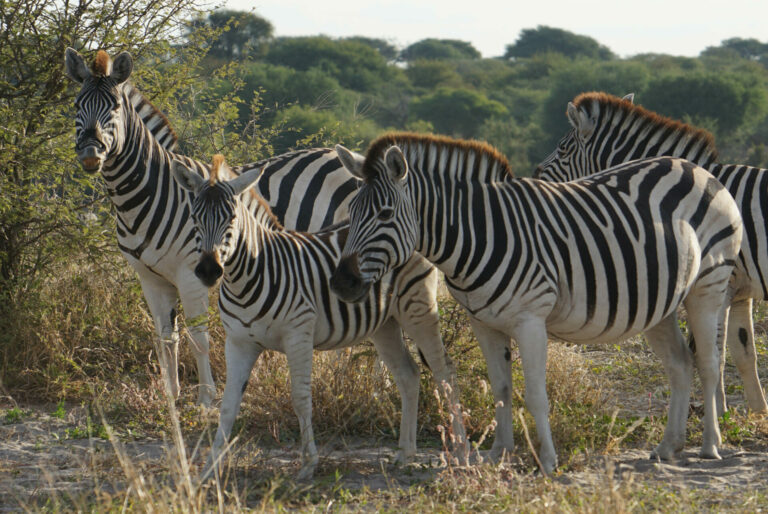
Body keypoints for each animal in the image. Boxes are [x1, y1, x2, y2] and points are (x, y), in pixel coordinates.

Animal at [63, 48, 364, 406]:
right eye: (77, 105)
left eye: (115, 108)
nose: (90, 154)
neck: (147, 192)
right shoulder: (151, 279)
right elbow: (166, 338)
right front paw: (171, 397)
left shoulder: (191, 273)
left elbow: (198, 337)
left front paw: (206, 399)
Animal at [171, 154, 464, 478]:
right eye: (194, 218)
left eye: (231, 218)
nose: (208, 270)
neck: (248, 276)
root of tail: (412, 226)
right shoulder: (238, 342)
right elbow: (228, 405)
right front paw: (209, 469)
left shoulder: (298, 334)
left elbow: (300, 398)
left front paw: (308, 464)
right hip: (384, 324)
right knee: (408, 375)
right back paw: (405, 452)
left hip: (418, 309)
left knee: (445, 371)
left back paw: (461, 453)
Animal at [330, 133, 744, 472]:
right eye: (351, 213)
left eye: (384, 214)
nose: (340, 283)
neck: (477, 232)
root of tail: (695, 168)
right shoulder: (483, 321)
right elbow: (501, 389)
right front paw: (498, 454)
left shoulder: (530, 319)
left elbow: (535, 395)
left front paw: (546, 460)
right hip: (660, 303)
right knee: (680, 363)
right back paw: (669, 446)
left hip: (707, 286)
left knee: (709, 363)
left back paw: (710, 446)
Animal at [536, 91, 768, 412]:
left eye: (562, 149)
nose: (535, 173)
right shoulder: (740, 289)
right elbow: (744, 352)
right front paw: (757, 412)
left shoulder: (721, 283)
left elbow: (715, 351)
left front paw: (717, 410)